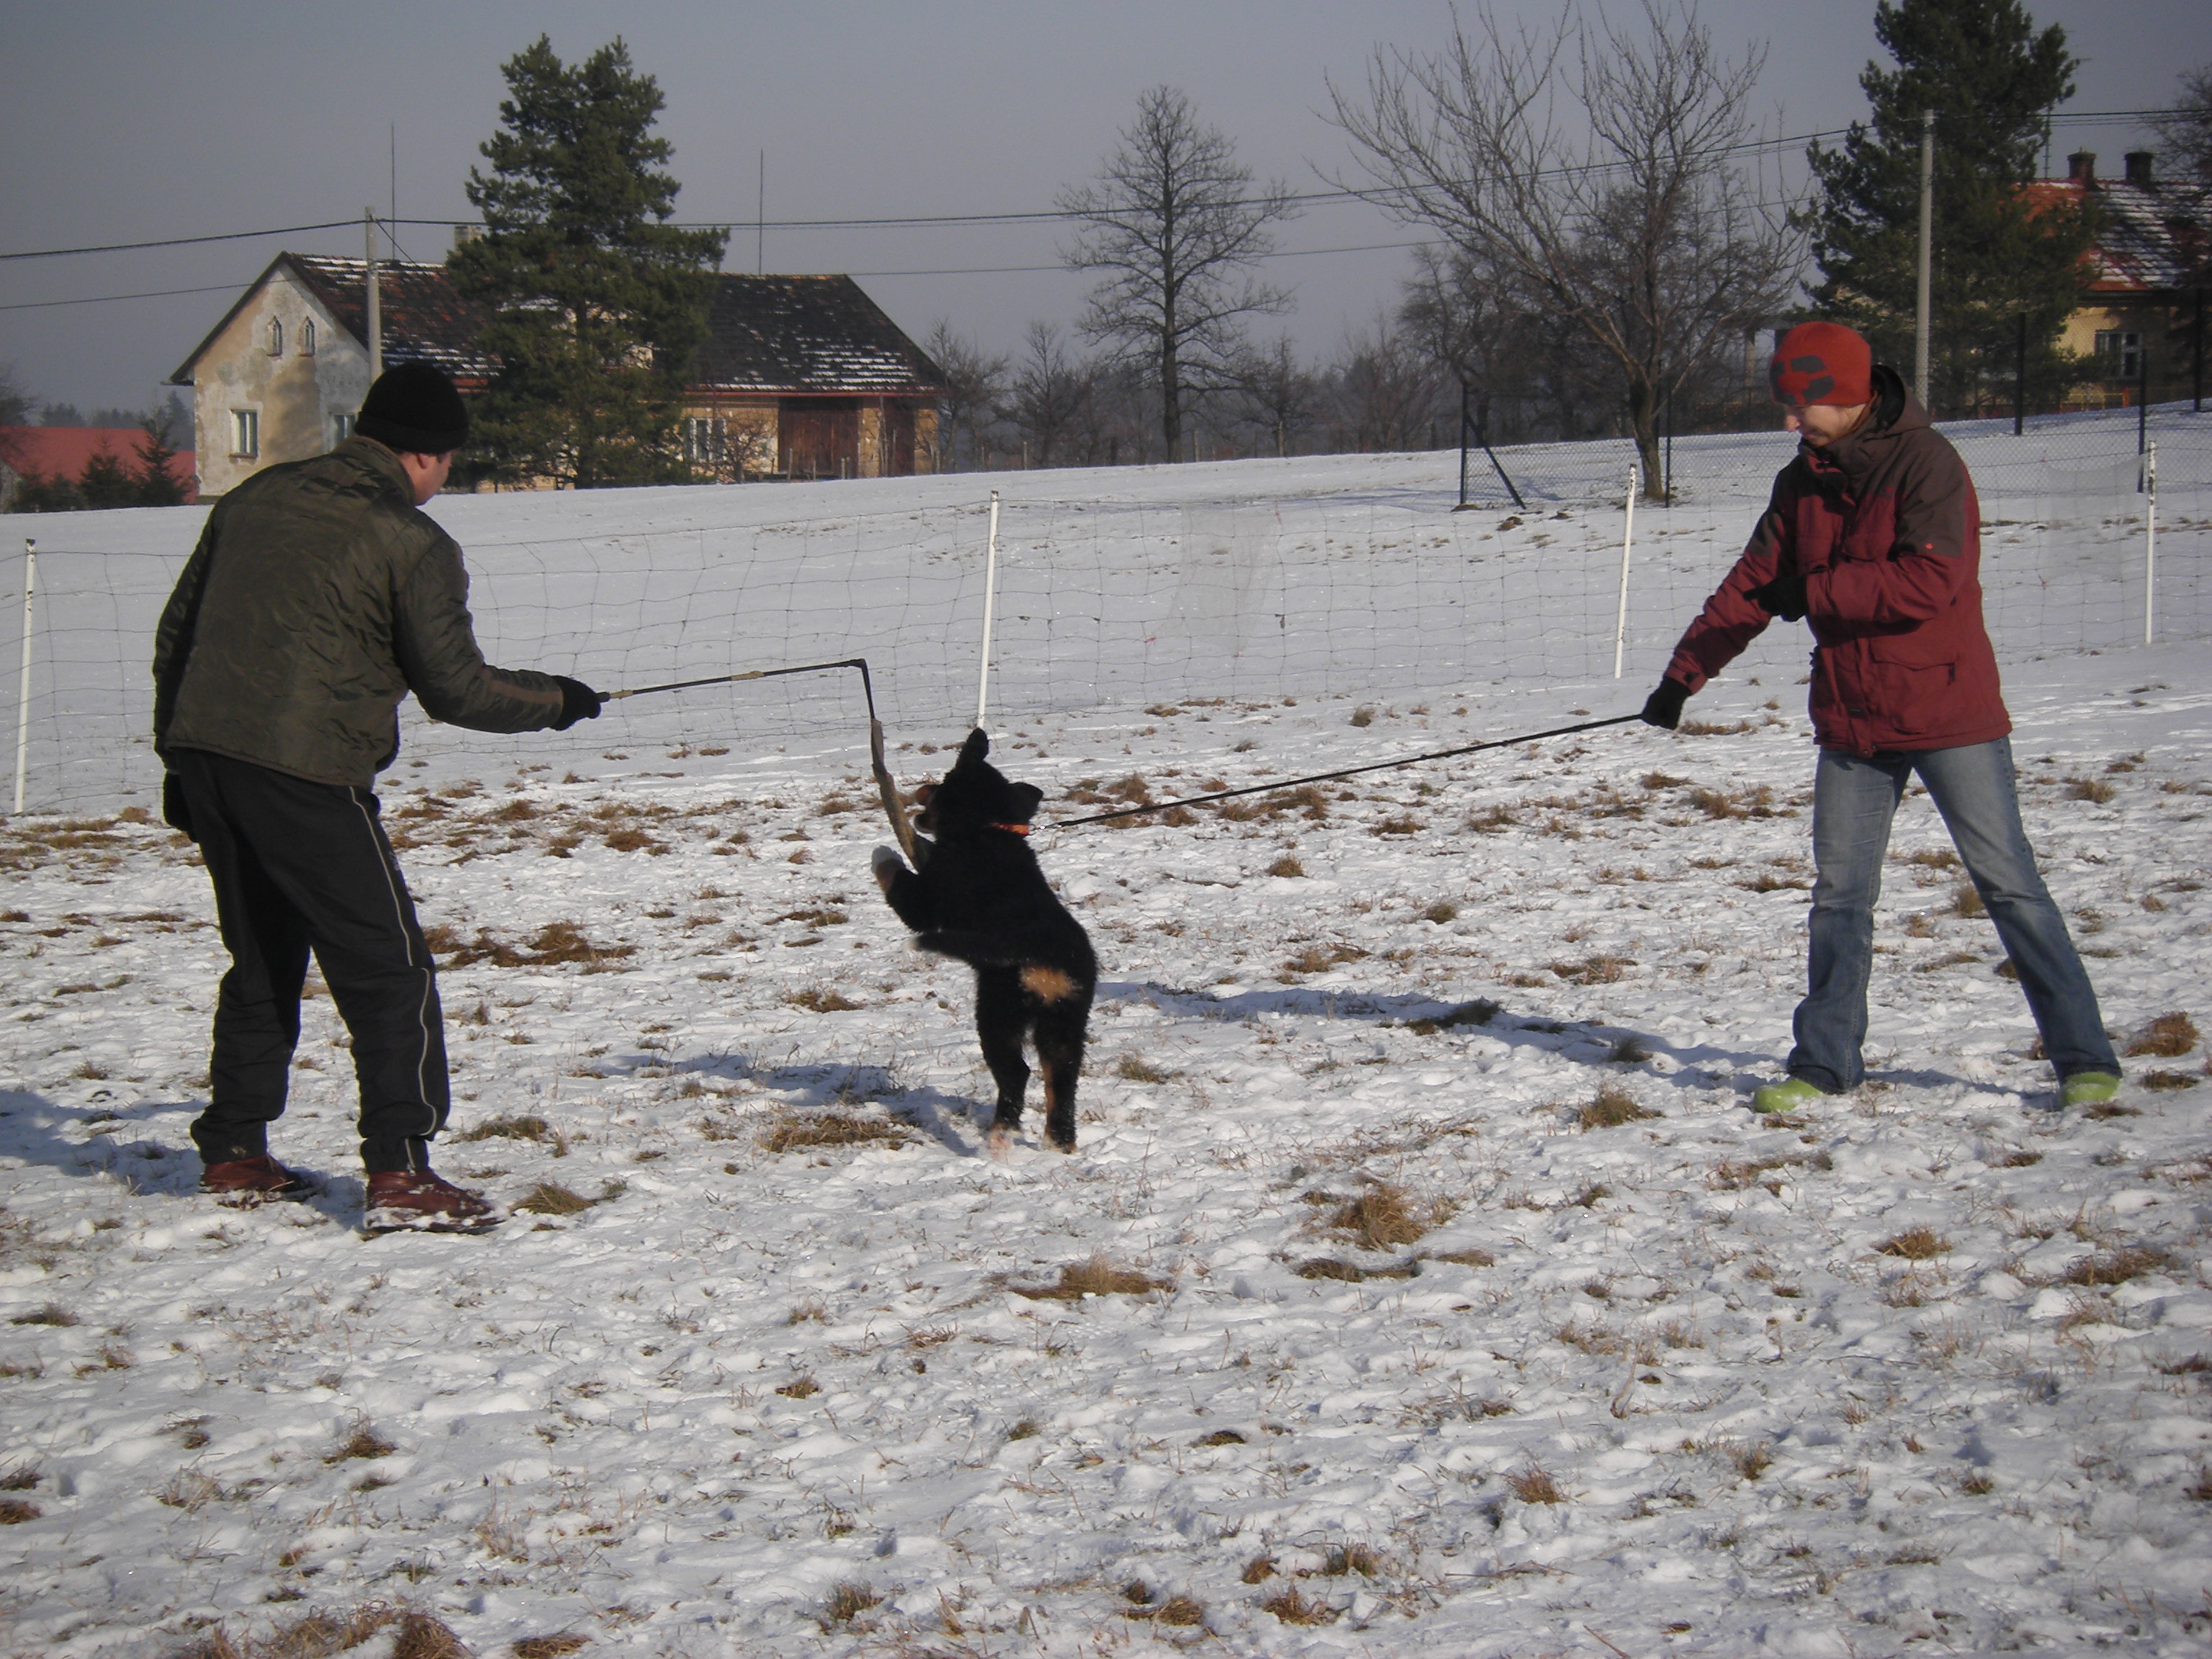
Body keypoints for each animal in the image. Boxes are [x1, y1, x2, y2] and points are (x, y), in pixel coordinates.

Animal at [871, 734, 1097, 1150]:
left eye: (943, 783)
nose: (922, 788)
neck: (987, 829)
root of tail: (1047, 956)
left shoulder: (926, 903)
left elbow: (896, 878)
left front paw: (884, 851)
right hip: (1067, 1018)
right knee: (1062, 1080)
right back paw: (1059, 1143)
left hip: (999, 1010)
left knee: (1016, 1072)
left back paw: (1000, 1136)